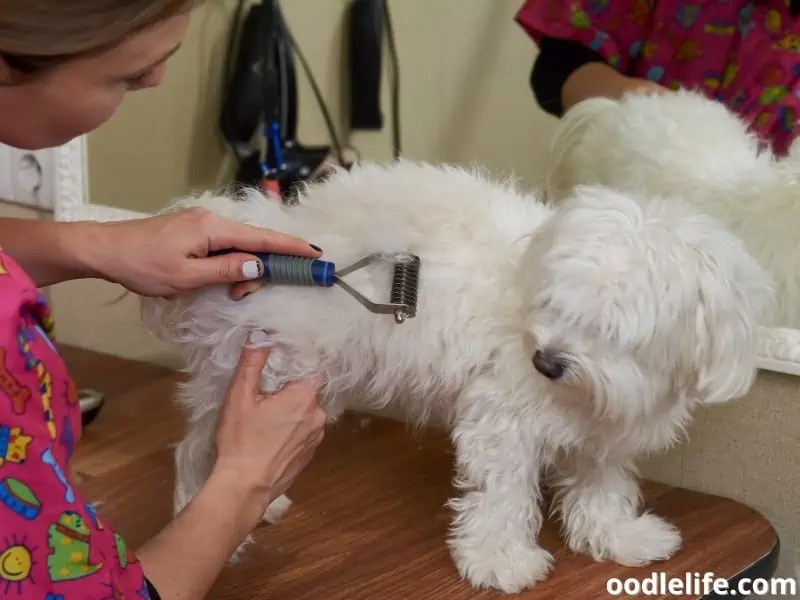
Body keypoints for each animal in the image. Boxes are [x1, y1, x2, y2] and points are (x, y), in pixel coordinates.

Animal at [141, 161, 772, 596]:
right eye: (553, 304)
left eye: (611, 330)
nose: (546, 361)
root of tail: (261, 229)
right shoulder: (503, 421)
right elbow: (502, 496)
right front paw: (501, 561)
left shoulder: (604, 435)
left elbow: (600, 489)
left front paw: (617, 537)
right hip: (273, 376)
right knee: (202, 452)